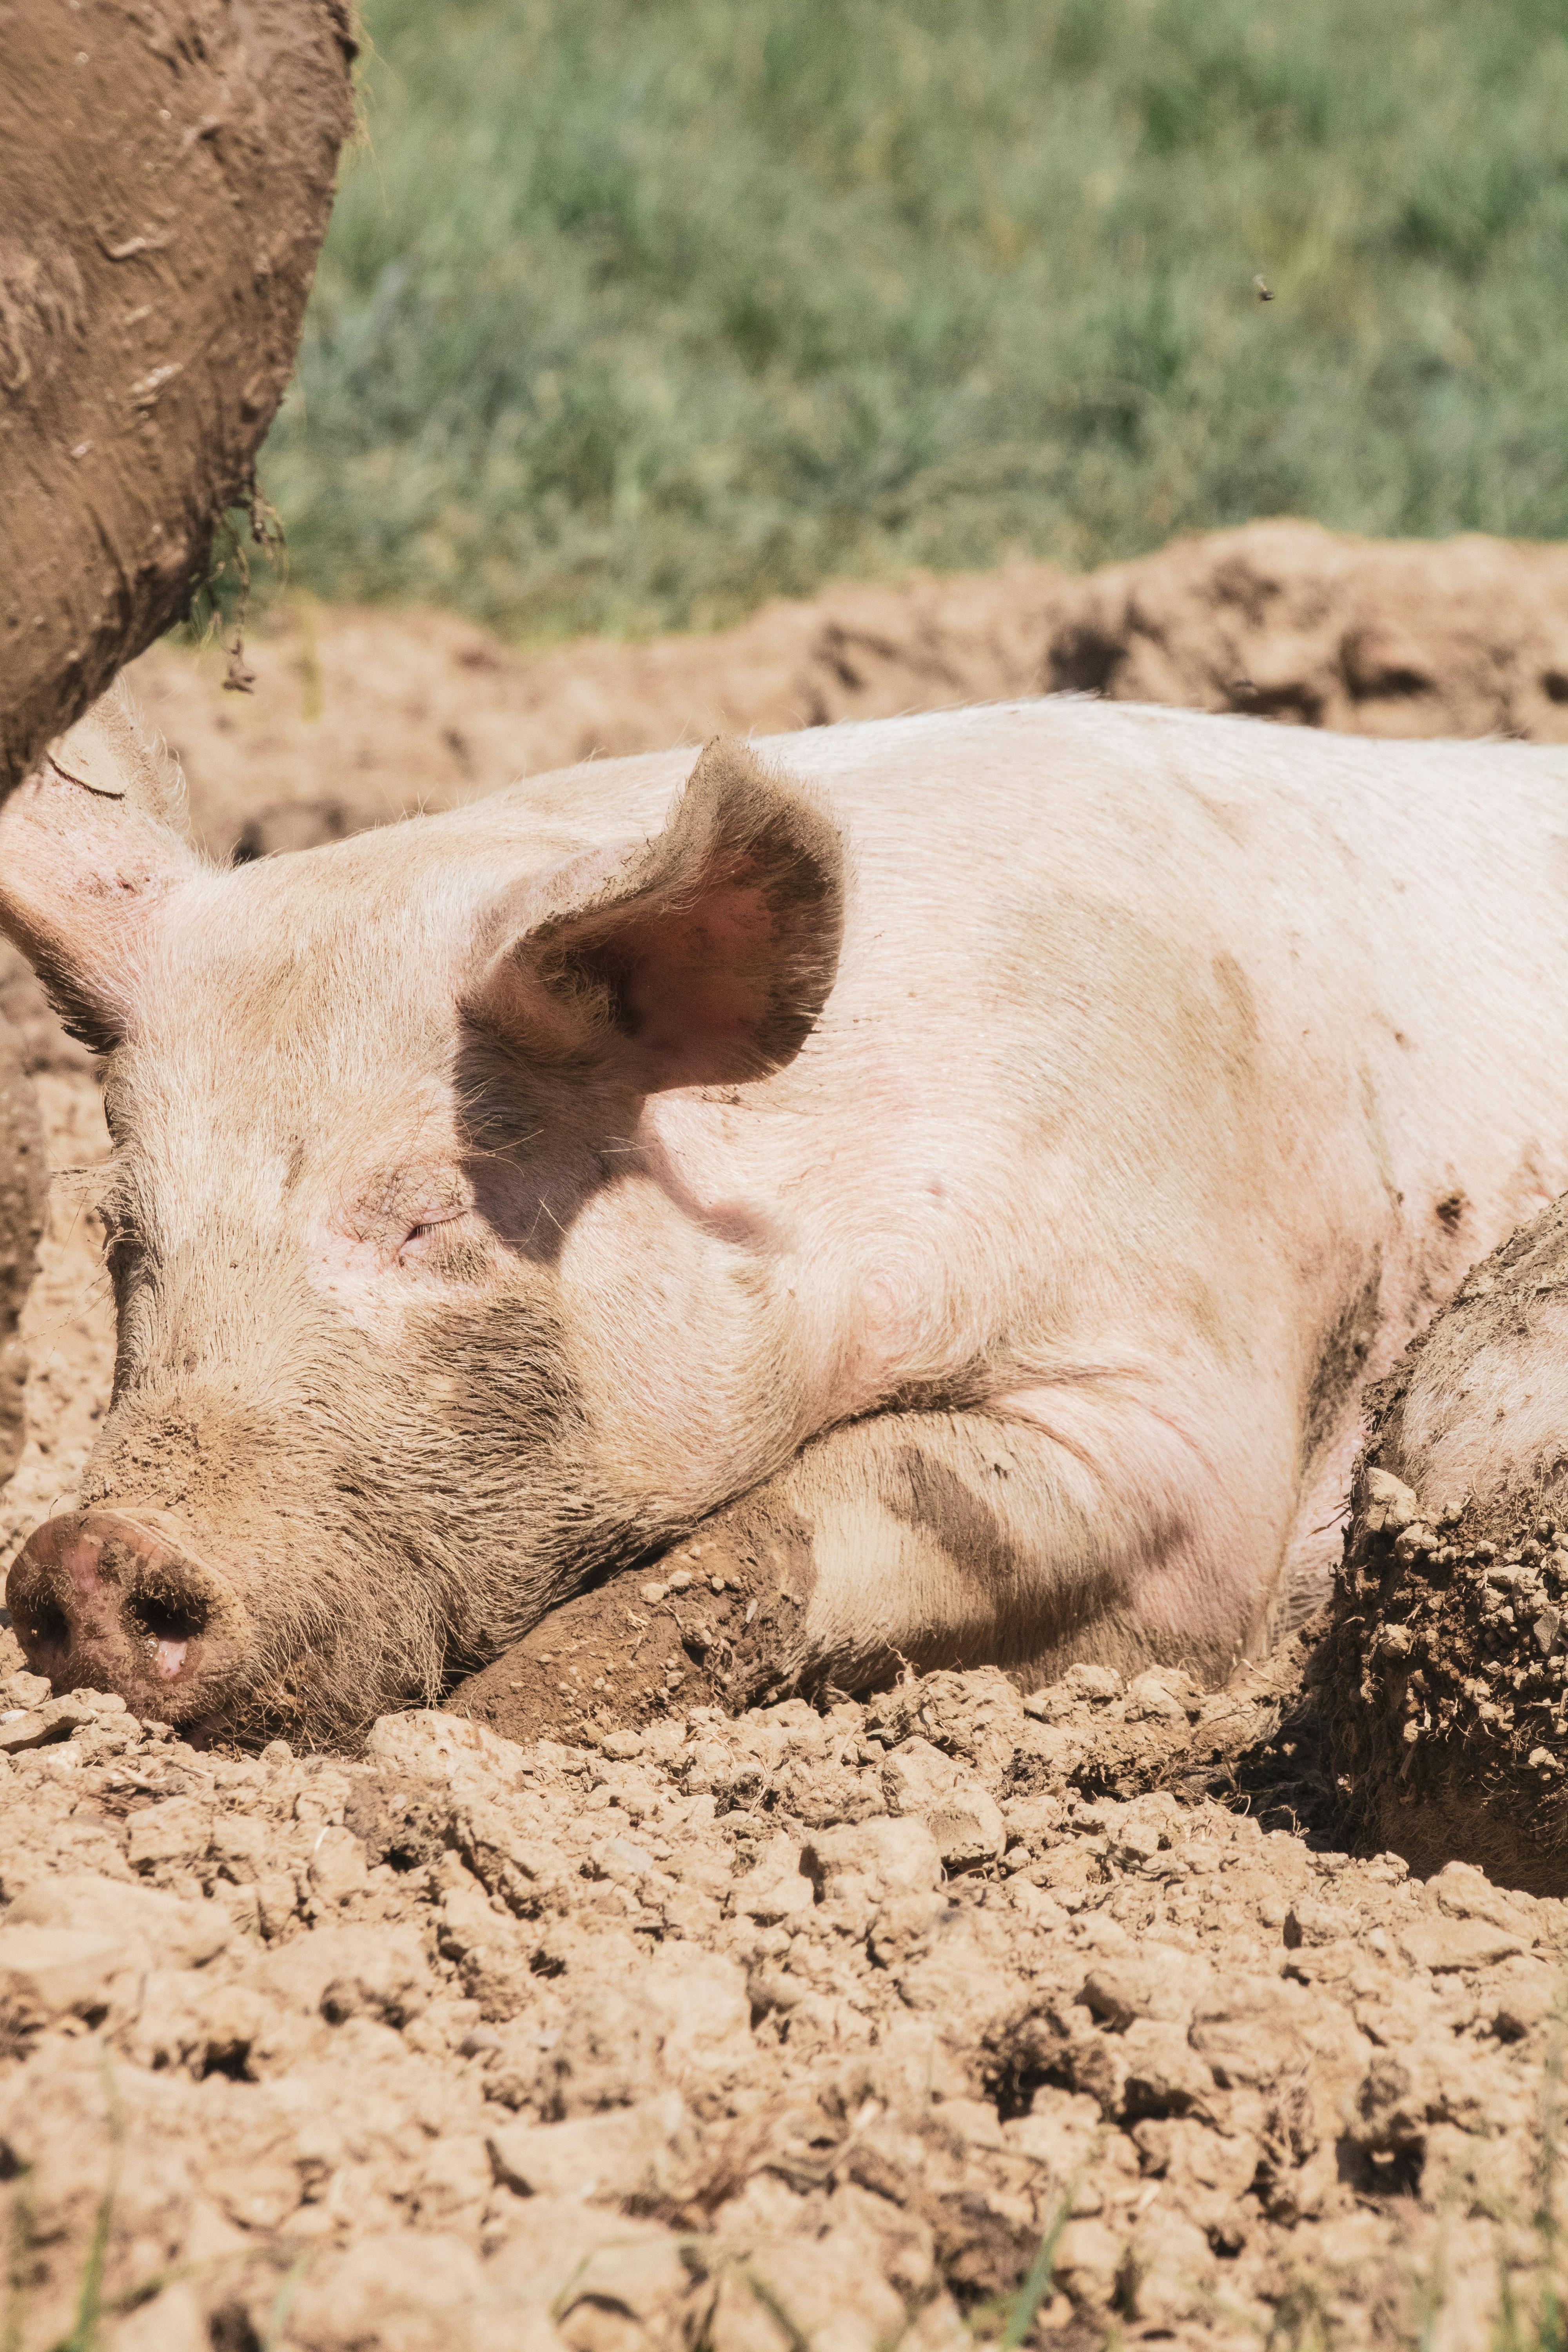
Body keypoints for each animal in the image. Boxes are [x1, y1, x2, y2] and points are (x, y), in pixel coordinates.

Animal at [6, 682, 1568, 1750]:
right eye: (124, 1236)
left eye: (423, 1216)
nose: (89, 1555)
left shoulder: (1196, 1408)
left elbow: (799, 1528)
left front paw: (465, 1735)